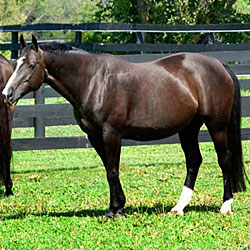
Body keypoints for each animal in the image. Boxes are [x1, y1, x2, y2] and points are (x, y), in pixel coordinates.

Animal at [1, 35, 248, 217]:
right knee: (194, 161)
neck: (94, 80)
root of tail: (219, 65)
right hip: (189, 128)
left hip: (216, 125)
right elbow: (109, 170)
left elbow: (112, 170)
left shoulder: (111, 133)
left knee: (224, 159)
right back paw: (179, 207)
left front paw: (115, 210)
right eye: (16, 64)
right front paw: (118, 205)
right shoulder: (95, 136)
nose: (6, 94)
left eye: (31, 65)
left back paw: (225, 206)